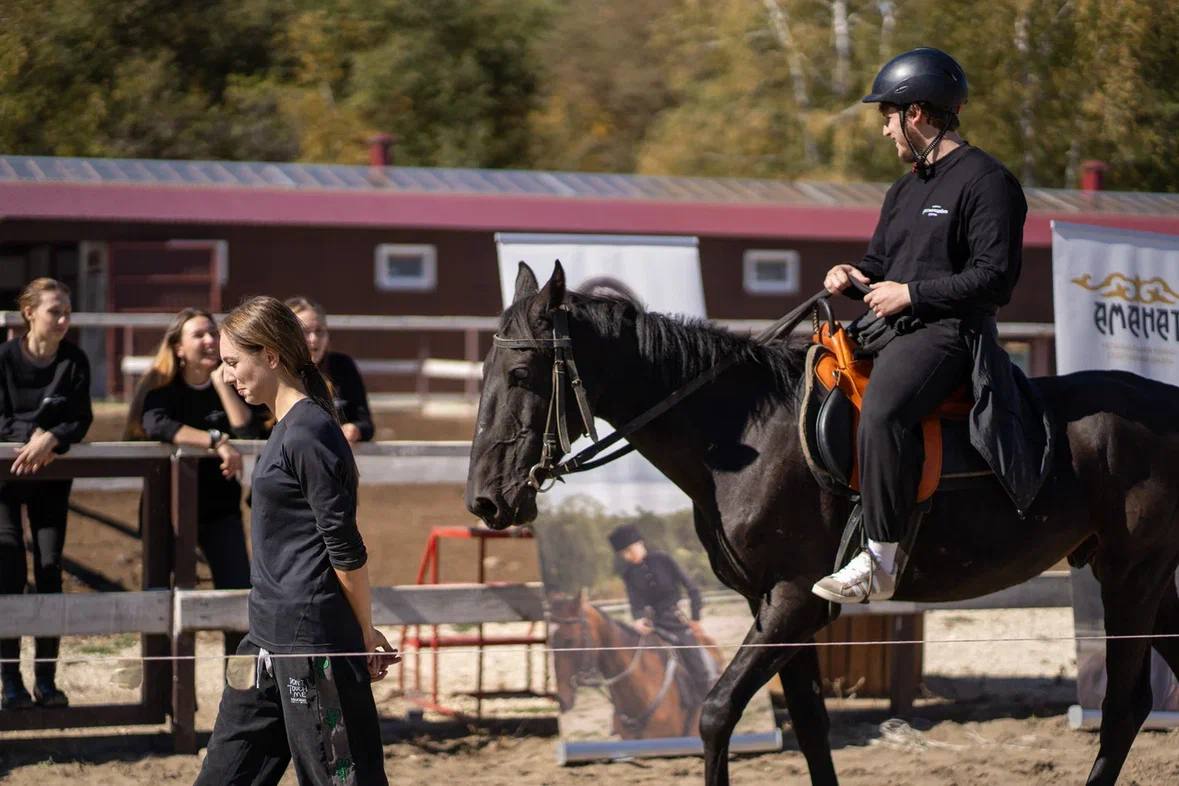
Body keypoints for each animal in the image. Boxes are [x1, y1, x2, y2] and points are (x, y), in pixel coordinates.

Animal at [464, 263, 1179, 786]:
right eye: (485, 371)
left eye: (522, 374)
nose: (486, 502)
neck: (744, 433)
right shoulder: (775, 607)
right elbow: (810, 728)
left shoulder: (792, 603)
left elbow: (717, 713)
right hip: (1150, 582)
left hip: (1131, 578)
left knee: (1124, 708)